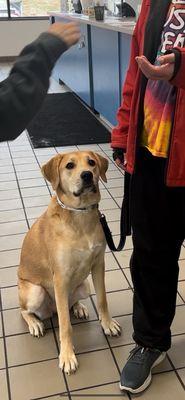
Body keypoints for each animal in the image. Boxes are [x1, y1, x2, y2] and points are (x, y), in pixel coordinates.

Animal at [18, 151, 120, 376]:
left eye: (91, 162)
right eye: (70, 165)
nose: (87, 175)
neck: (80, 213)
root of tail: (51, 310)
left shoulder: (98, 265)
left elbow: (103, 300)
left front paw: (107, 324)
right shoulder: (61, 277)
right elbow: (65, 326)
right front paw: (67, 356)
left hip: (84, 285)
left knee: (70, 303)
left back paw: (78, 307)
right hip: (35, 292)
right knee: (25, 311)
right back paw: (35, 323)